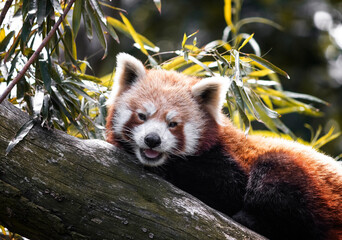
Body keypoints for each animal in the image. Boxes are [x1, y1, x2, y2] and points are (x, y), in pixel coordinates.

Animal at [105, 53, 340, 240]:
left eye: (173, 124)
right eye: (142, 116)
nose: (152, 140)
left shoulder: (230, 160)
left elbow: (227, 187)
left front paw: (170, 169)